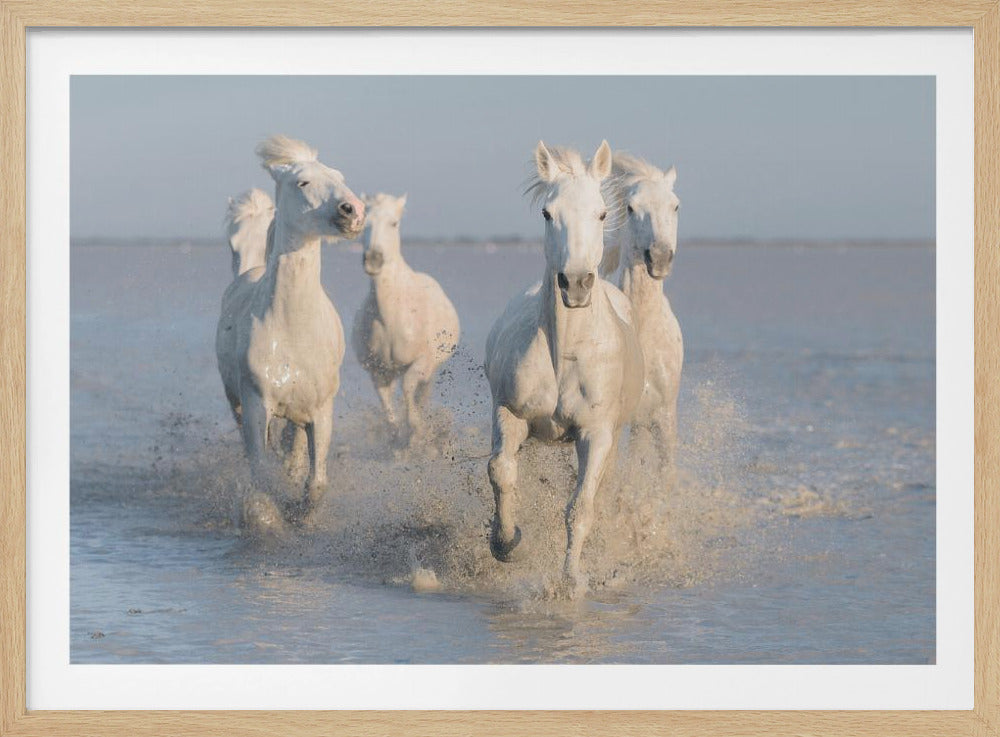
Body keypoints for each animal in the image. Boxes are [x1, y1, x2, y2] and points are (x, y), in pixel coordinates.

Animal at [215, 135, 365, 533]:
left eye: (339, 176)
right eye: (303, 182)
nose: (354, 211)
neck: (292, 330)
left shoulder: (320, 412)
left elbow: (316, 482)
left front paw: (300, 512)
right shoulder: (255, 405)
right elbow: (261, 475)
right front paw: (269, 515)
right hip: (236, 402)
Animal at [351, 193, 460, 447]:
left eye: (394, 223)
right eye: (364, 223)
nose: (373, 259)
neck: (393, 316)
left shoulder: (422, 361)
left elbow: (409, 387)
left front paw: (417, 430)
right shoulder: (378, 370)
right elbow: (387, 407)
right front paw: (397, 436)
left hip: (432, 368)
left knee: (422, 392)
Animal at [484, 140, 644, 596]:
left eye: (602, 213)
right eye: (547, 213)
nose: (575, 284)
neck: (567, 353)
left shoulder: (596, 433)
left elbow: (580, 506)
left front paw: (571, 580)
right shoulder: (510, 413)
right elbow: (501, 471)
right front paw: (506, 542)